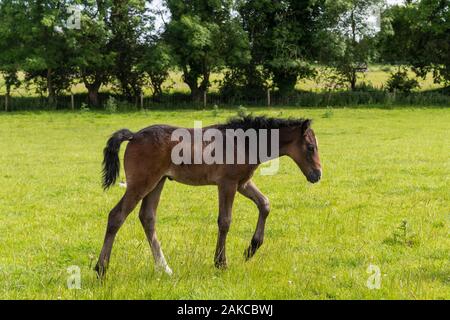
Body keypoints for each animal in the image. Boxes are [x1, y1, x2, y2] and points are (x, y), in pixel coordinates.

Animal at [95, 116, 322, 276]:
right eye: (310, 147)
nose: (317, 175)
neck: (243, 142)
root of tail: (134, 135)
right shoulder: (227, 184)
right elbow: (225, 221)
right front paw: (221, 262)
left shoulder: (242, 183)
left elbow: (265, 204)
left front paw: (251, 249)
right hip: (141, 183)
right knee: (116, 216)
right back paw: (101, 269)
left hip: (157, 182)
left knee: (147, 217)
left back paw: (164, 268)